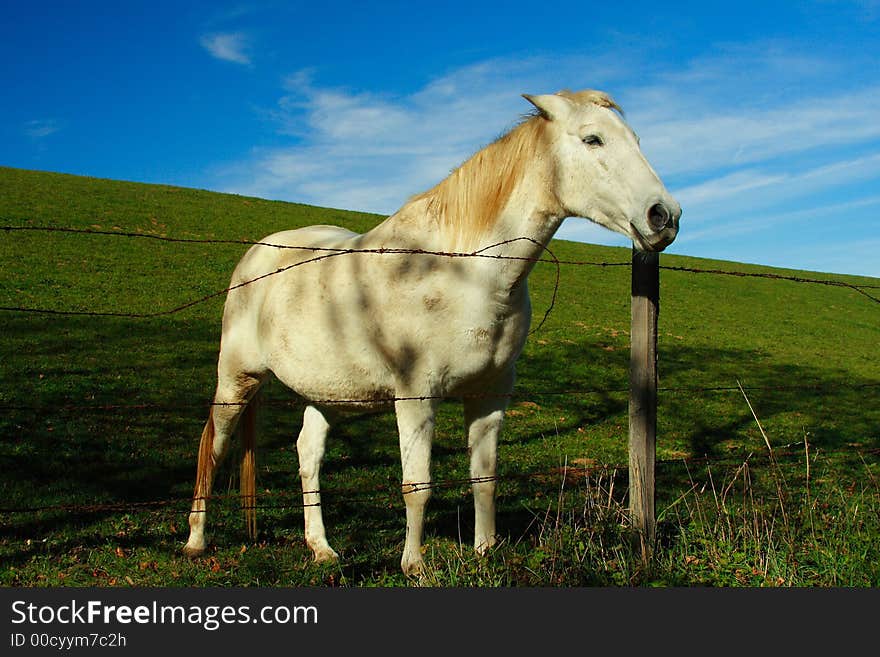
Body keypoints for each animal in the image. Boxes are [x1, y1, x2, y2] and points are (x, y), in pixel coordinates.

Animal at [184, 88, 680, 576]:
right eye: (592, 139)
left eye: (635, 138)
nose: (664, 216)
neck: (465, 272)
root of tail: (257, 254)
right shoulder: (416, 396)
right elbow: (417, 484)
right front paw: (415, 565)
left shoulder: (490, 395)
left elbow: (485, 478)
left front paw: (485, 551)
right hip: (237, 380)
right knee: (213, 448)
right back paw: (195, 541)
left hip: (325, 394)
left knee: (308, 456)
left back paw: (321, 548)